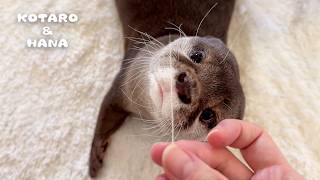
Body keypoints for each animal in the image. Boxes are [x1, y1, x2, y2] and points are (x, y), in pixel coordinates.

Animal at [89, 0, 244, 177]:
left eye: (207, 115)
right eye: (197, 56)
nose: (186, 86)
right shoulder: (122, 82)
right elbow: (105, 115)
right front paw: (94, 156)